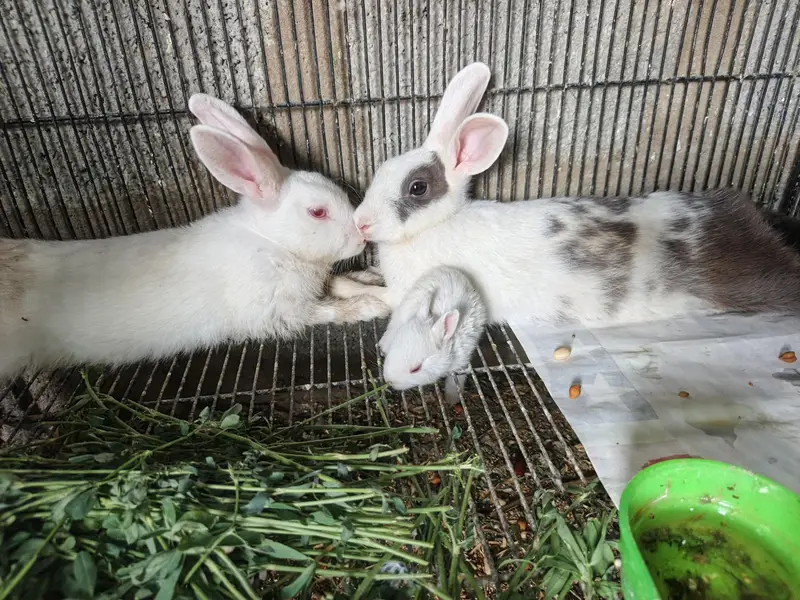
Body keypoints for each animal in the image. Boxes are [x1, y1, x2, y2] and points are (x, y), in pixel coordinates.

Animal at [0, 93, 389, 381]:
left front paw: (369, 281)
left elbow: (341, 283)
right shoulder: (281, 311)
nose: (361, 240)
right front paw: (371, 305)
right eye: (318, 212)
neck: (273, 243)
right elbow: (327, 311)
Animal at [346, 62, 800, 327]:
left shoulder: (411, 293)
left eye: (417, 188)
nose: (359, 223)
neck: (435, 227)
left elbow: (379, 298)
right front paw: (359, 275)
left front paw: (349, 295)